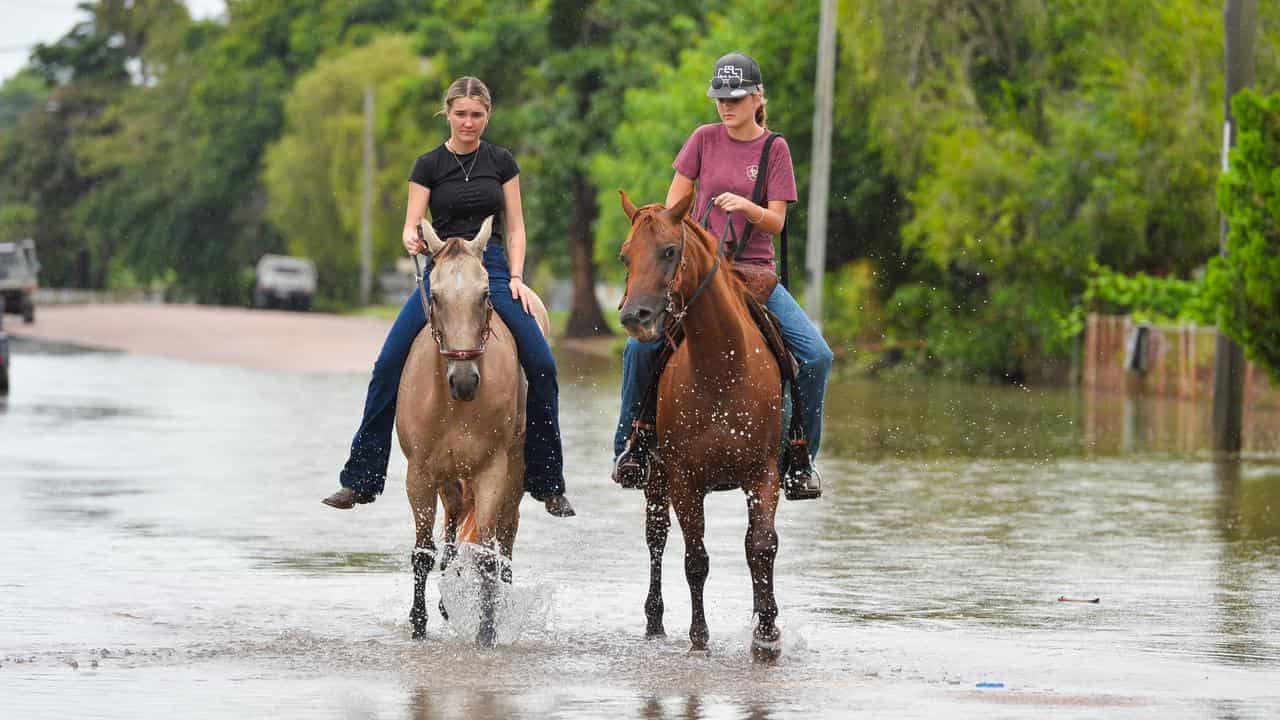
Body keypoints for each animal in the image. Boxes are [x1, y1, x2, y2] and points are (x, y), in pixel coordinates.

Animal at [391, 213, 547, 645]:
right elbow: (423, 552)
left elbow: (488, 557)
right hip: (449, 481)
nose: (464, 380)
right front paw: (419, 624)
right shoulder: (420, 474)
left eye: (484, 295)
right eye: (436, 296)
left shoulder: (493, 472)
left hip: (513, 474)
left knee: (505, 540)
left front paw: (487, 631)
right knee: (451, 532)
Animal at [614, 188, 783, 661]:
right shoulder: (685, 480)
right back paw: (654, 622)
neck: (720, 366)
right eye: (624, 256)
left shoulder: (763, 473)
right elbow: (696, 559)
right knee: (656, 538)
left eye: (670, 251)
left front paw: (767, 632)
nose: (635, 317)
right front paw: (699, 637)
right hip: (655, 478)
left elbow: (760, 547)